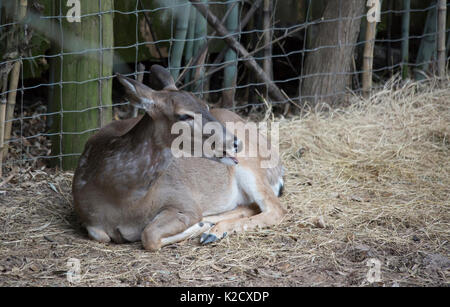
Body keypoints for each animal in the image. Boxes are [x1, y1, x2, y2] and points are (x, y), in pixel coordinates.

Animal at [73, 64, 284, 250]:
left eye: (206, 105)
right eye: (184, 116)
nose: (235, 142)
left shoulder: (184, 201)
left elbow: (149, 235)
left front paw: (199, 226)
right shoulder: (87, 218)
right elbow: (102, 235)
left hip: (251, 168)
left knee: (275, 209)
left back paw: (211, 231)